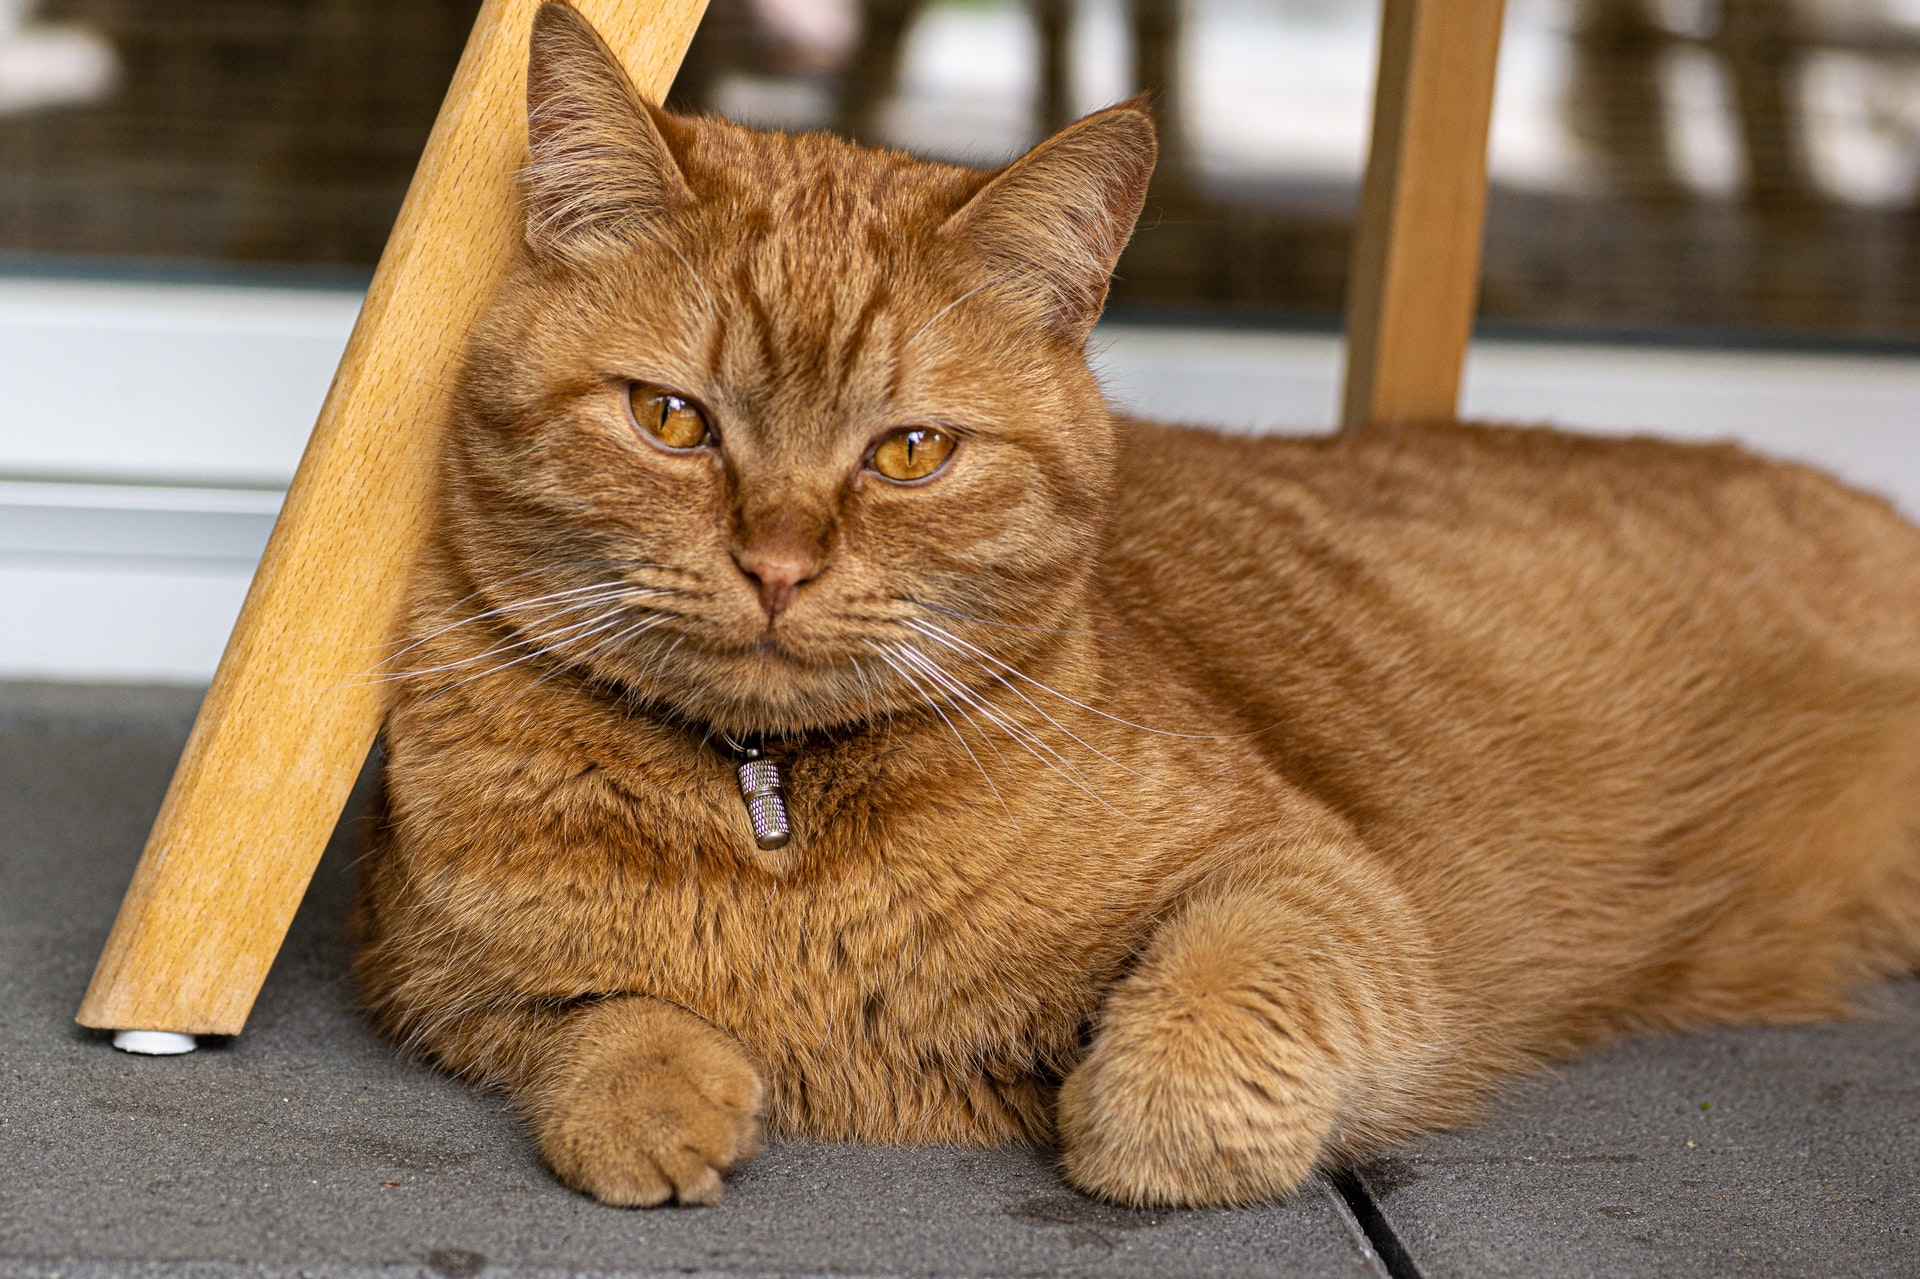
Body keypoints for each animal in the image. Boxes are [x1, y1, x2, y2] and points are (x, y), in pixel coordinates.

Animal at [353, 0, 1920, 1206]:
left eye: (910, 451)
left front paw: (1124, 1114)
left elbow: (1205, 1006)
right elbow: (589, 1015)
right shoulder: (430, 974)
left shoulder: (1317, 879)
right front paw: (649, 1092)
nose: (781, 562)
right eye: (672, 420)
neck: (774, 809)